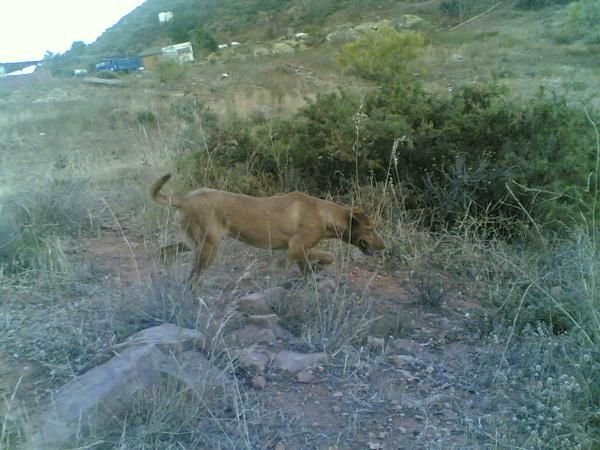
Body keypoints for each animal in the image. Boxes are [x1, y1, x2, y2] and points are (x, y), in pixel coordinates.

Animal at [150, 173, 384, 276]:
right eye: (371, 229)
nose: (384, 247)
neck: (324, 214)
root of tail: (184, 199)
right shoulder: (296, 249)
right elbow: (329, 255)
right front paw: (320, 265)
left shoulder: (300, 253)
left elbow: (308, 270)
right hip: (208, 248)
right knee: (192, 279)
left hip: (195, 243)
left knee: (163, 251)